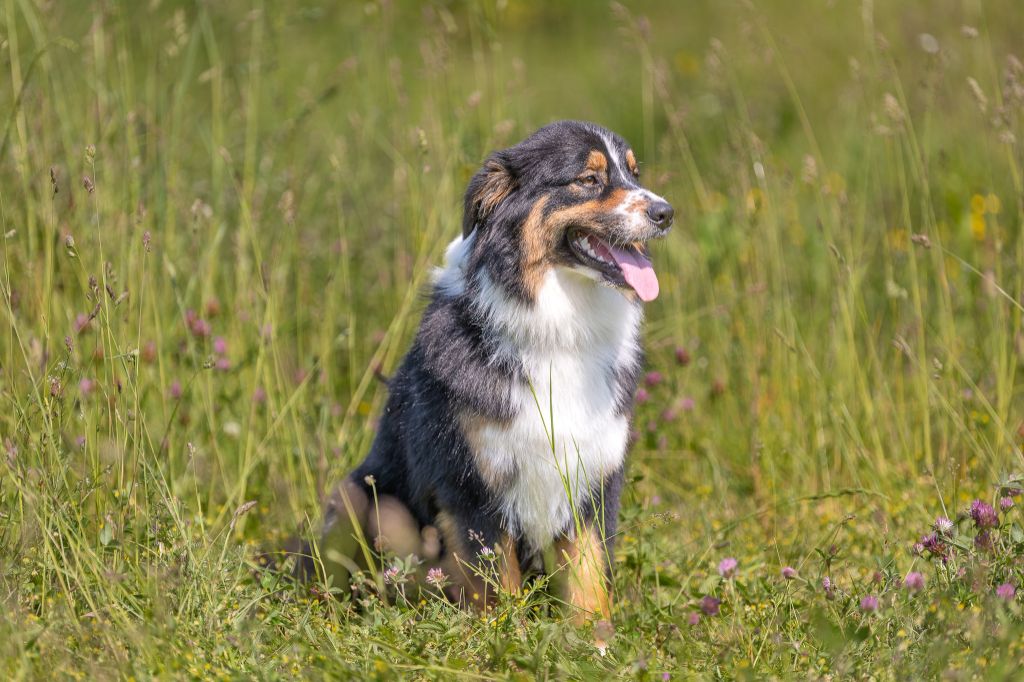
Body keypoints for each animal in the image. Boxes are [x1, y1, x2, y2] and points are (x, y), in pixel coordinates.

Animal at [315, 118, 675, 622]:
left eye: (634, 173)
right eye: (588, 179)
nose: (666, 213)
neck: (558, 328)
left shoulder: (590, 478)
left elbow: (588, 584)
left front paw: (595, 638)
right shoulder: (471, 486)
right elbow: (497, 588)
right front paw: (505, 634)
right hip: (353, 496)